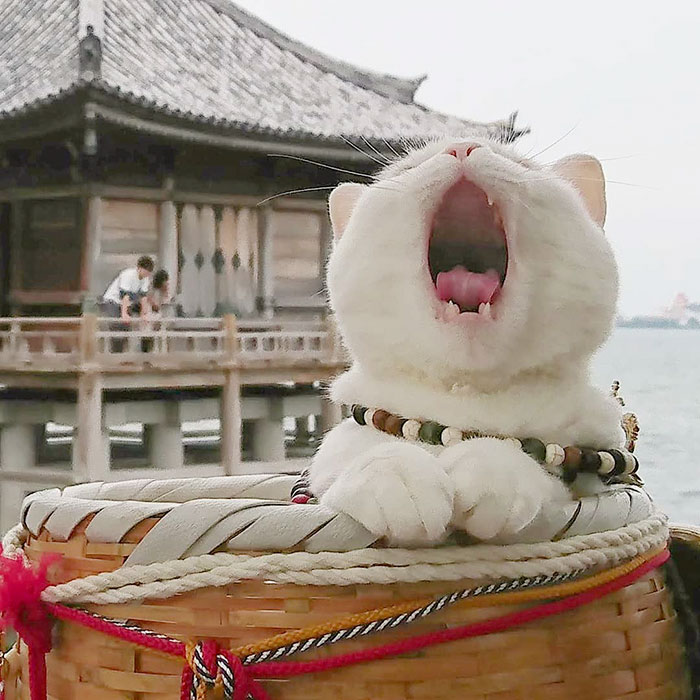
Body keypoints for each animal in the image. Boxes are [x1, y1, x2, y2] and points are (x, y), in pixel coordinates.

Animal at [310, 134, 624, 544]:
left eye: (519, 162)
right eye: (407, 168)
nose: (462, 146)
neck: (465, 401)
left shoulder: (590, 486)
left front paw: (494, 471)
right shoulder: (332, 459)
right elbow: (352, 457)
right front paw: (394, 475)